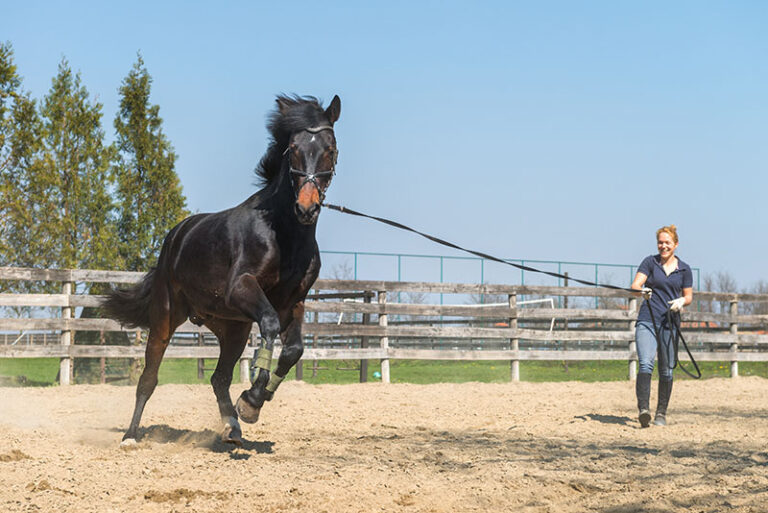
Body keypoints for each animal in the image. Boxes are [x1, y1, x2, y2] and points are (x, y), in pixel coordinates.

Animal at [102, 94, 341, 446]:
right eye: (293, 148)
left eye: (330, 148)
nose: (306, 207)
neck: (283, 234)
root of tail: (176, 236)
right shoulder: (242, 288)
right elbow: (270, 326)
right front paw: (252, 398)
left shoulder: (293, 302)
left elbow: (294, 350)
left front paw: (253, 404)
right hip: (167, 317)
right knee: (149, 378)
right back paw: (131, 436)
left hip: (232, 328)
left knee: (219, 377)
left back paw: (232, 427)